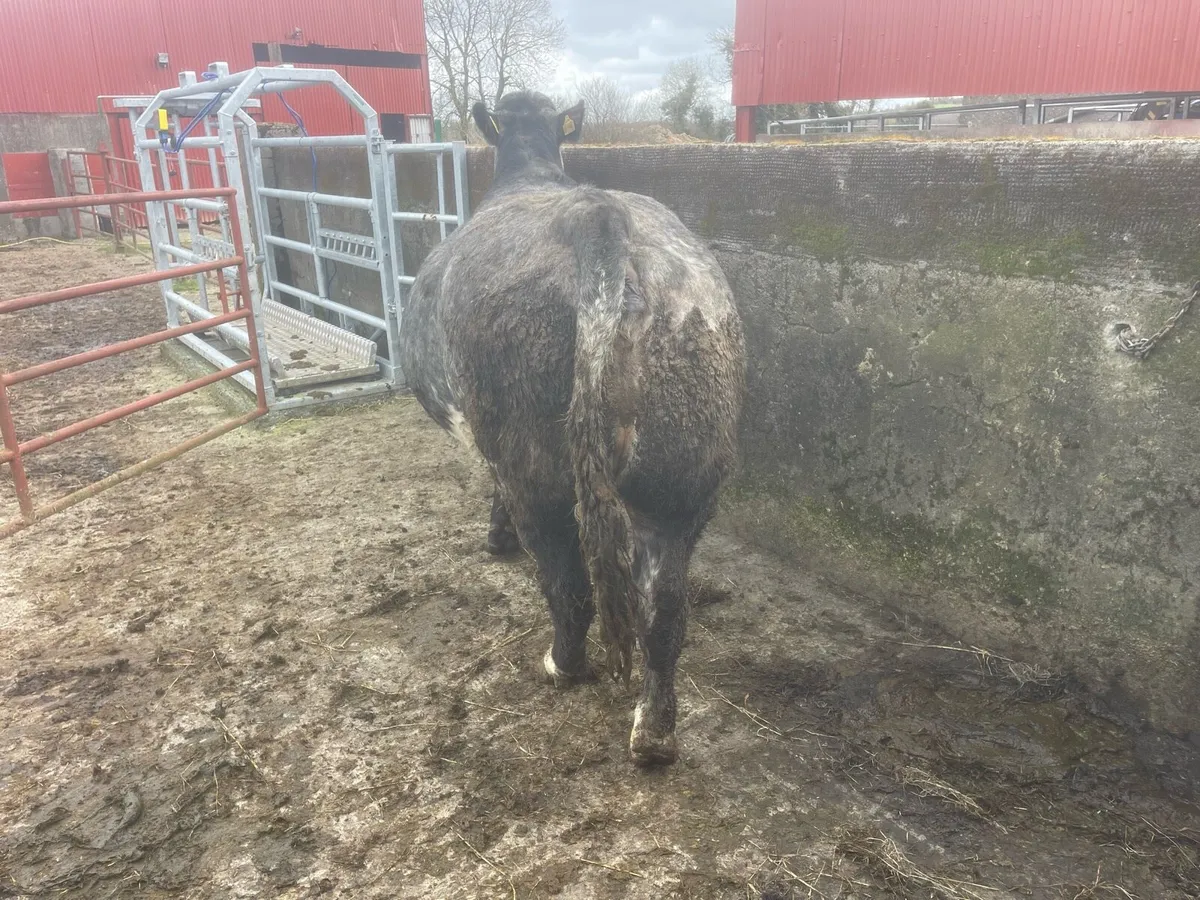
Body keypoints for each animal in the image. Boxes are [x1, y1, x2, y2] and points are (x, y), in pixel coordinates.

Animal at [399, 90, 745, 765]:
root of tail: (597, 215)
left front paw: (496, 537)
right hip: (687, 472)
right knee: (665, 607)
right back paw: (653, 734)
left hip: (533, 457)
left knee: (567, 580)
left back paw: (563, 664)